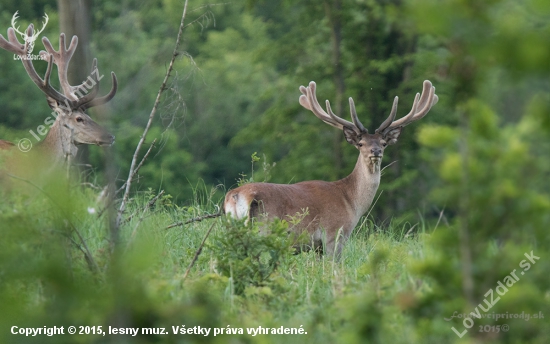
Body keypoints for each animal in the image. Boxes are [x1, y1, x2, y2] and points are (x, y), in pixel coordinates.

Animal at [225, 80, 440, 256]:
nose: (376, 151)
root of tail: (235, 196)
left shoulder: (317, 247)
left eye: (384, 143)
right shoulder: (334, 234)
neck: (351, 202)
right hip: (264, 229)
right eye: (360, 143)